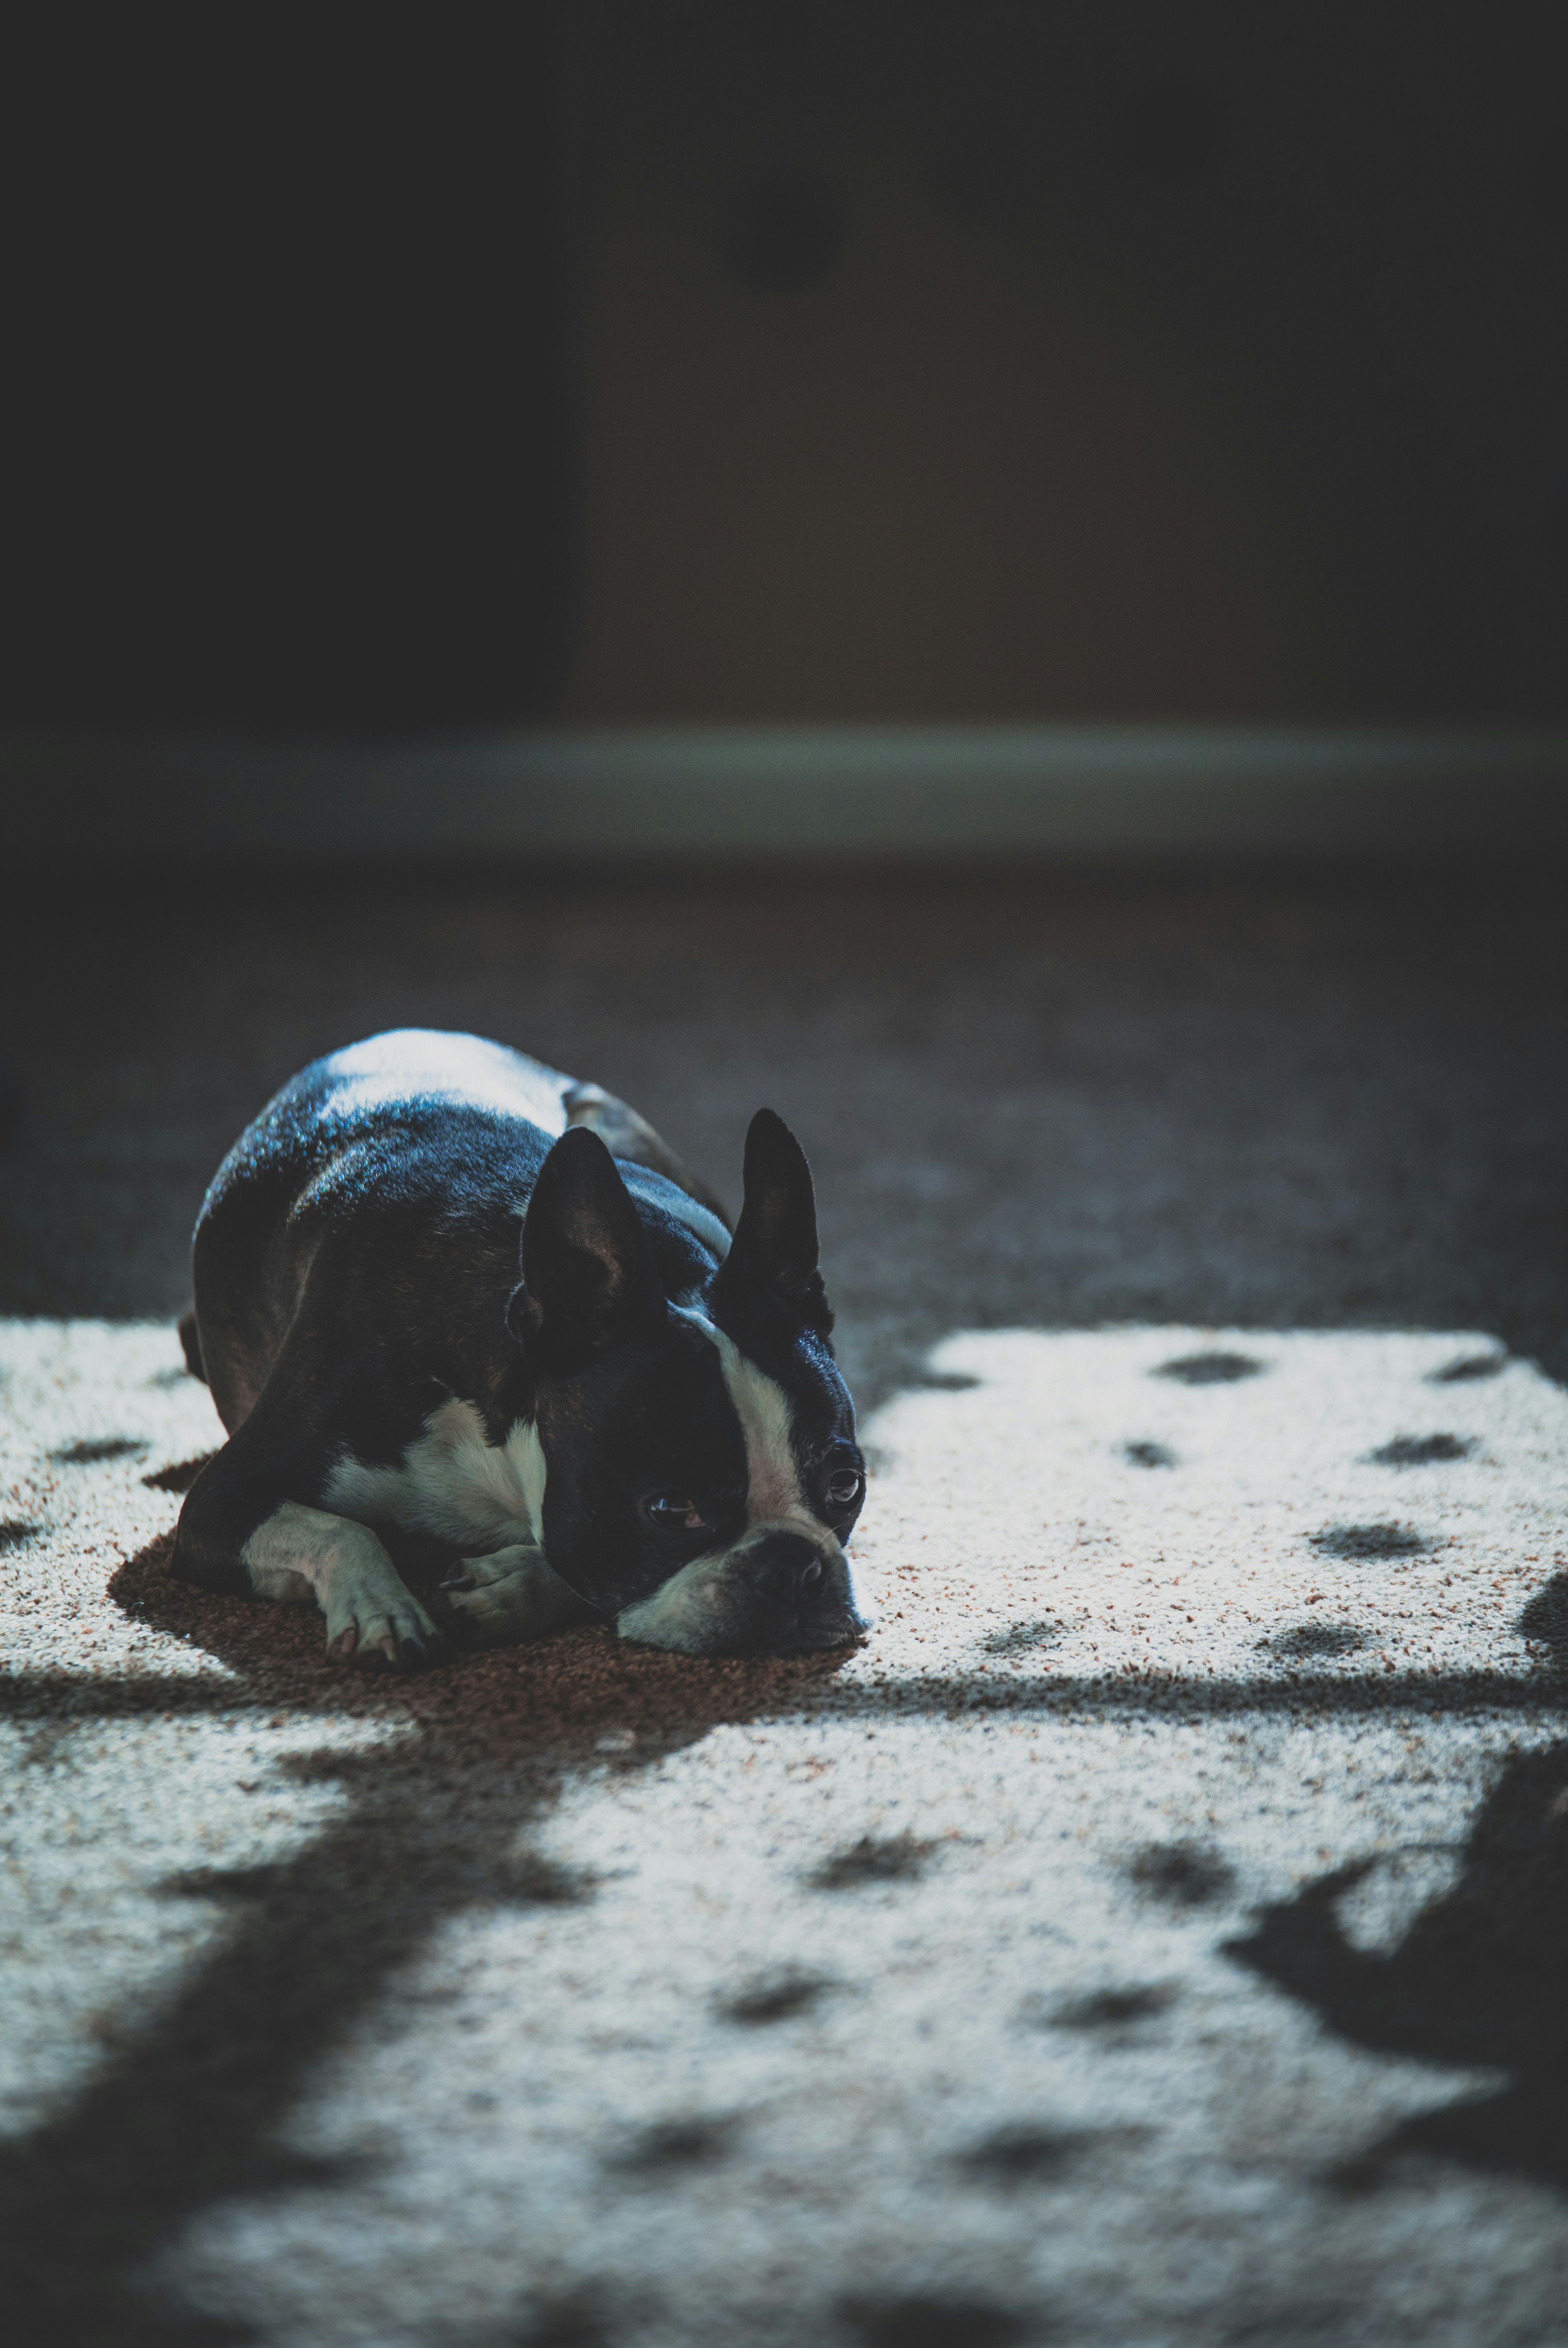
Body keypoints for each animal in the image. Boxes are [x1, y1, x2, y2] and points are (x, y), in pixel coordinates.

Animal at [171, 1033, 868, 1672]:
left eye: (846, 1486)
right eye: (670, 1510)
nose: (793, 1568)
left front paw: (512, 1588)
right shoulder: (218, 1504)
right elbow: (344, 1530)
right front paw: (382, 1608)